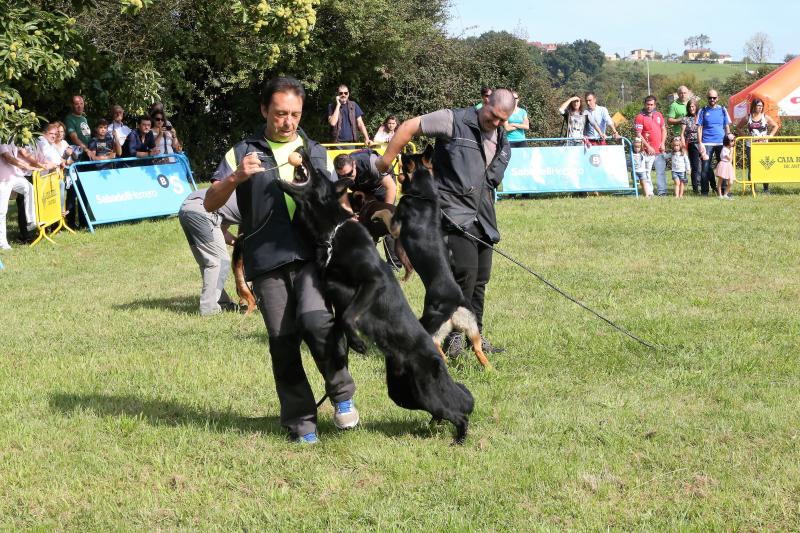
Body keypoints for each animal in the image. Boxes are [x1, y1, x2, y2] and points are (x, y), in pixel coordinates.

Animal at [276, 148, 476, 442]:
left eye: (319, 171)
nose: (301, 151)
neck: (333, 232)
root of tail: (438, 354)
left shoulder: (373, 281)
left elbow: (348, 316)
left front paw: (358, 344)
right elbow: (338, 323)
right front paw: (344, 348)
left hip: (425, 391)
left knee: (459, 413)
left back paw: (458, 439)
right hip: (404, 393)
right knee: (444, 409)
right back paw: (433, 426)